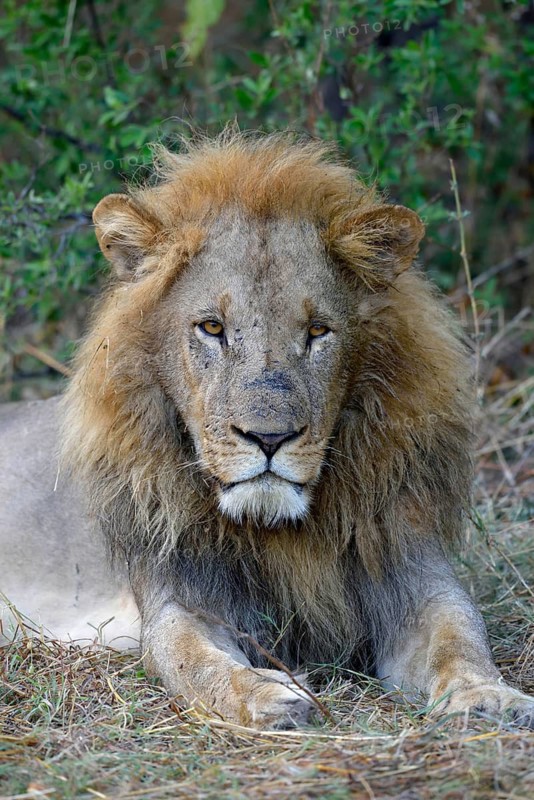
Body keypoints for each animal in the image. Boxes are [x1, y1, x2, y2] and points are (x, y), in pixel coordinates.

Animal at [1, 130, 533, 729]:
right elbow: (192, 659)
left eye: (317, 331)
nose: (270, 439)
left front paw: (488, 695)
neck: (282, 531)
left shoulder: (412, 570)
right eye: (212, 327)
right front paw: (268, 696)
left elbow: (459, 636)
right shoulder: (182, 598)